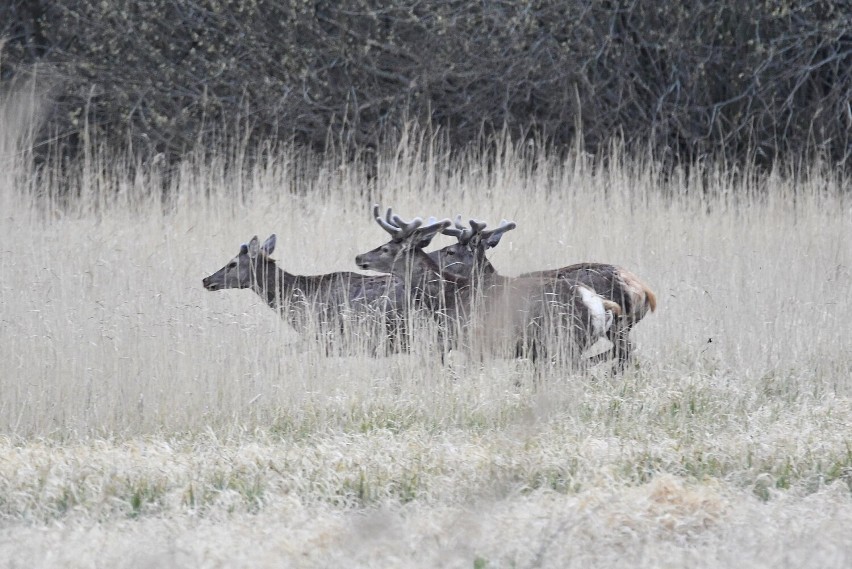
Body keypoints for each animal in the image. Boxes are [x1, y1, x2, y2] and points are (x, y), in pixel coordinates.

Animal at [352, 206, 620, 366]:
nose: (359, 257)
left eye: (386, 248)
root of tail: (598, 303)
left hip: (564, 340)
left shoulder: (472, 340)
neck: (449, 297)